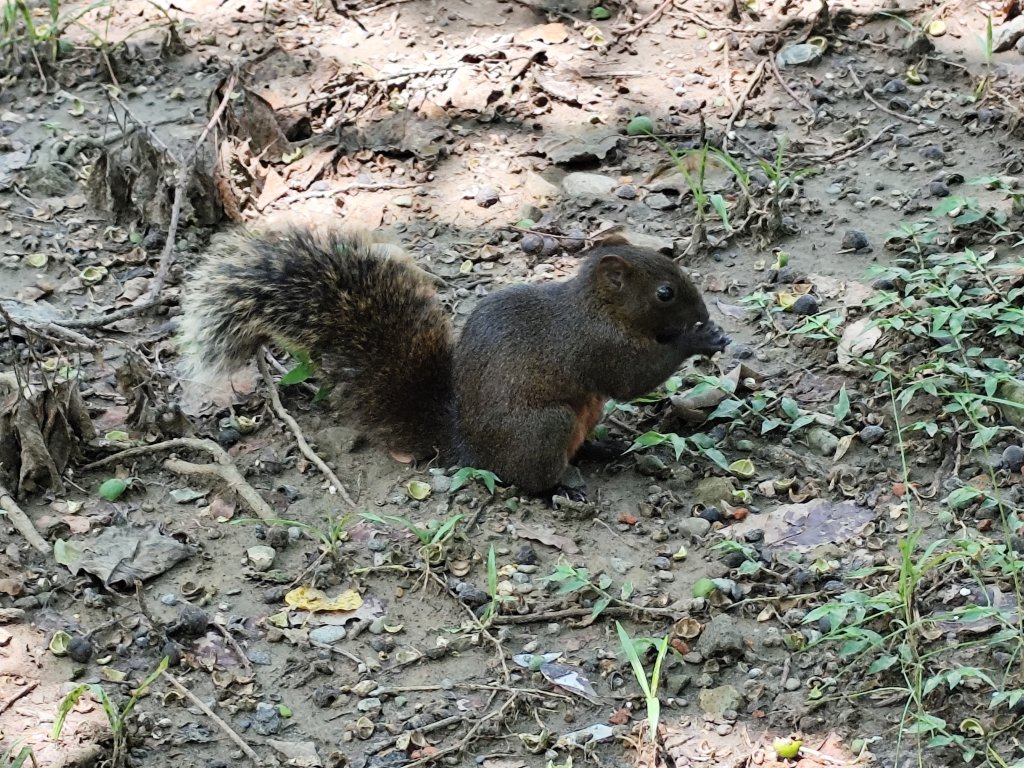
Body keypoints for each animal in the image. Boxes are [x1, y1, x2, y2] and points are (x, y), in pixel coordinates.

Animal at [182, 225, 729, 495]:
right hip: (545, 426)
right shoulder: (594, 345)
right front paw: (697, 340)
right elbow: (632, 378)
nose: (703, 313)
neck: (596, 307)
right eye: (664, 293)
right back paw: (560, 488)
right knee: (528, 480)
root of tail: (467, 448)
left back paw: (601, 449)